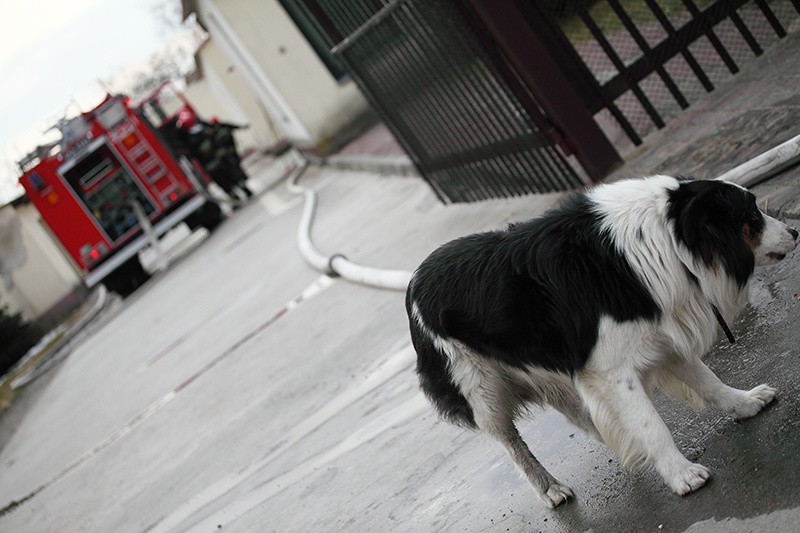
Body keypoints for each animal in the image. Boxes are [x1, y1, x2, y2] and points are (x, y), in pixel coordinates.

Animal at [410, 176, 796, 508]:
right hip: (481, 389)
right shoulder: (611, 371)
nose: (794, 231)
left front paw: (745, 404)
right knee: (511, 443)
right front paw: (681, 474)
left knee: (574, 410)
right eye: (753, 216)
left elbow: (709, 382)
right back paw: (549, 489)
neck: (668, 237)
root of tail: (414, 282)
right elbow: (652, 424)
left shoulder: (662, 335)